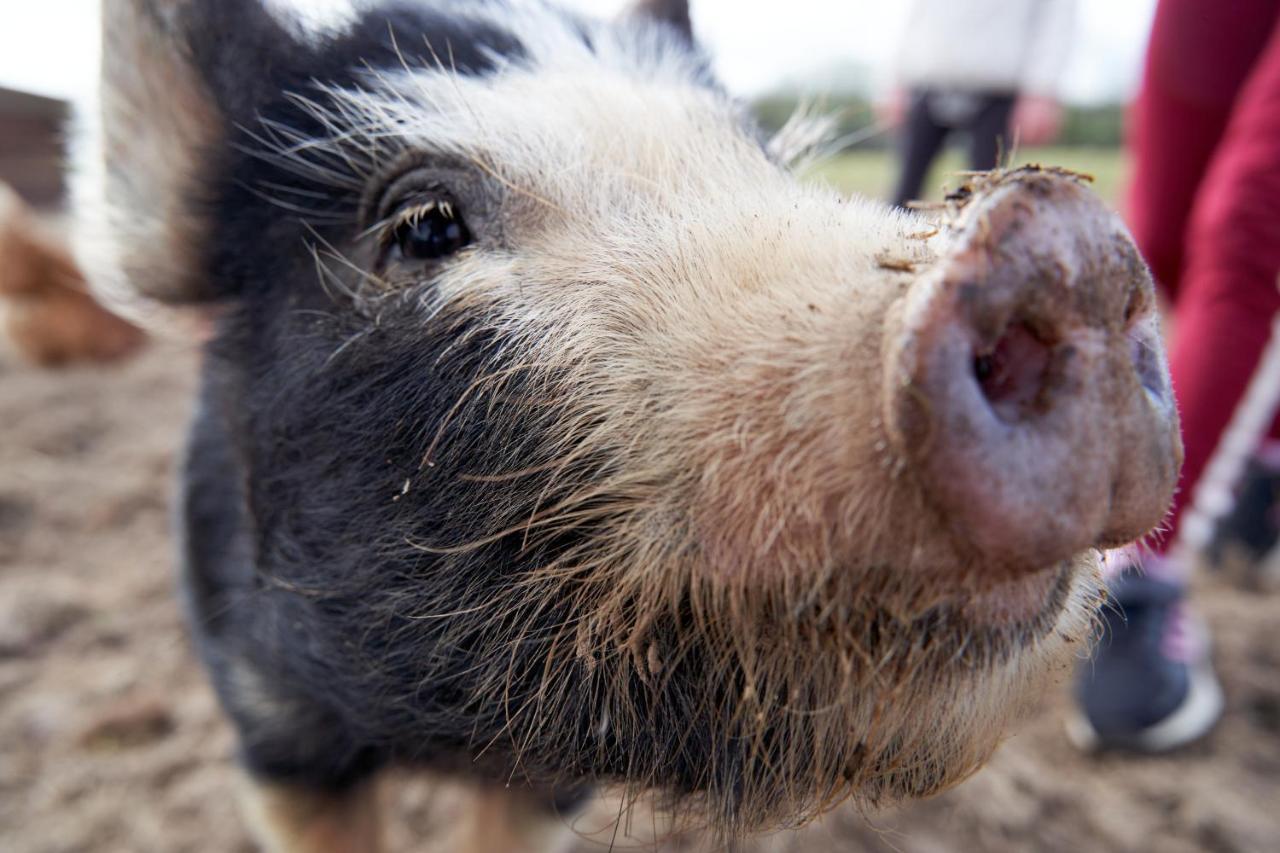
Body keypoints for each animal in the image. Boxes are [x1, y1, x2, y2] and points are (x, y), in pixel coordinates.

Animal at [77, 1, 1177, 850]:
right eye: (424, 223)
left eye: (763, 165)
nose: (1062, 245)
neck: (434, 733)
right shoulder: (272, 730)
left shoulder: (546, 782)